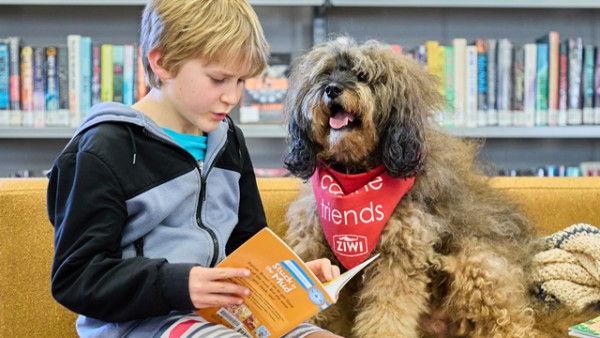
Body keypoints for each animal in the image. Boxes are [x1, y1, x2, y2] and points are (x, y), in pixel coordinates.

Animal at [282, 38, 596, 336]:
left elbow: (388, 311)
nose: (332, 89)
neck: (355, 176)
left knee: (514, 326)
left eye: (362, 75)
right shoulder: (312, 243)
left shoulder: (400, 255)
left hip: (479, 265)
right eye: (325, 73)